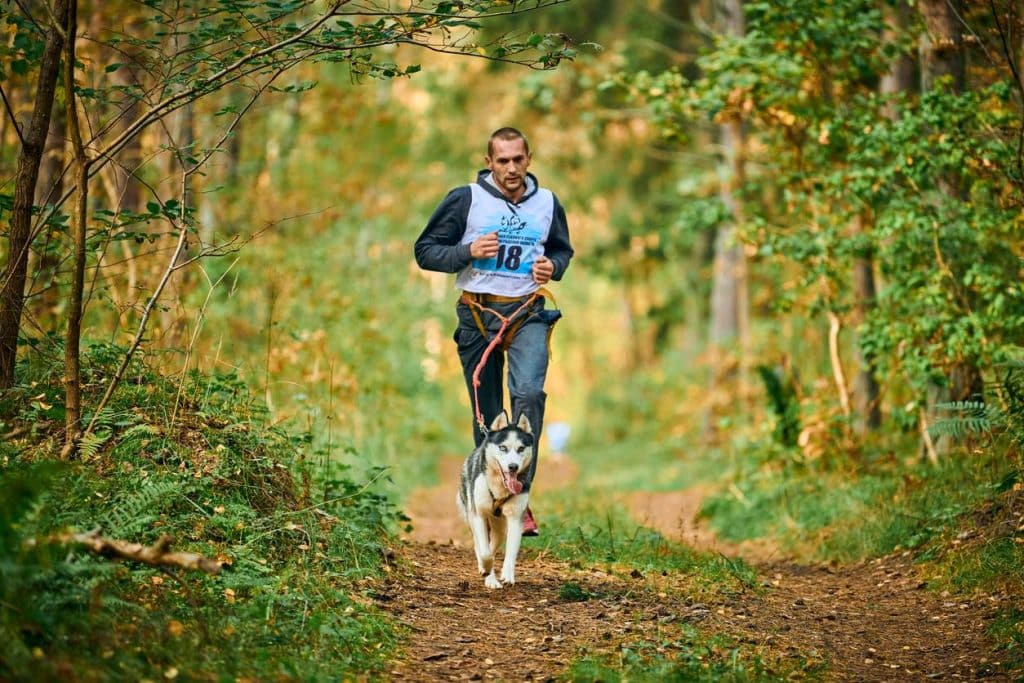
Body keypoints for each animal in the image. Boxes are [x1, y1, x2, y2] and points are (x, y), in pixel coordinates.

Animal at [458, 409, 536, 589]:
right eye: (503, 447)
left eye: (521, 448)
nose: (513, 467)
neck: (500, 487)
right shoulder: (479, 515)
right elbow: (485, 551)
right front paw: (486, 568)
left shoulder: (515, 518)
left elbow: (511, 551)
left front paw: (507, 574)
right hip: (471, 513)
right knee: (480, 545)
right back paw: (487, 572)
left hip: (500, 526)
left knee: (495, 541)